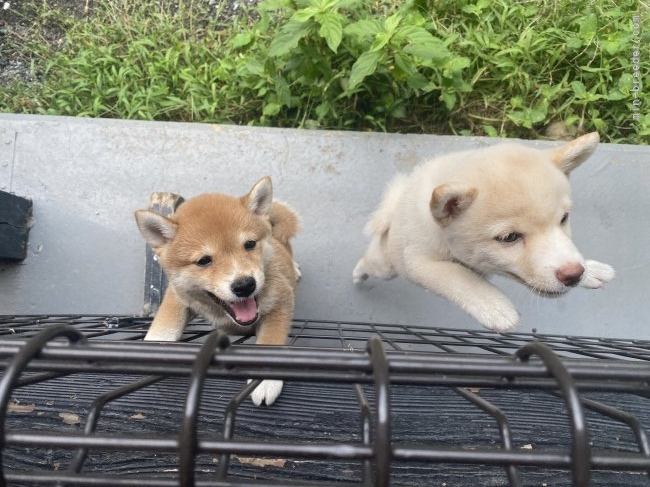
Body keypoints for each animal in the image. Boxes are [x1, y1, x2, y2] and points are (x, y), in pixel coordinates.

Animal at [138, 177, 300, 406]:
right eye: (203, 261)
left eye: (249, 244)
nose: (245, 285)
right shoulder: (177, 295)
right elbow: (164, 325)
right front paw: (150, 350)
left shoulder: (281, 299)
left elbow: (270, 345)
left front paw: (264, 380)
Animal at [354, 132, 612, 332]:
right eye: (509, 238)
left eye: (563, 219)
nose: (573, 274)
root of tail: (395, 209)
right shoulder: (418, 261)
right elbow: (458, 277)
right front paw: (493, 306)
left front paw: (591, 271)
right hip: (387, 264)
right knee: (369, 260)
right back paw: (358, 273)